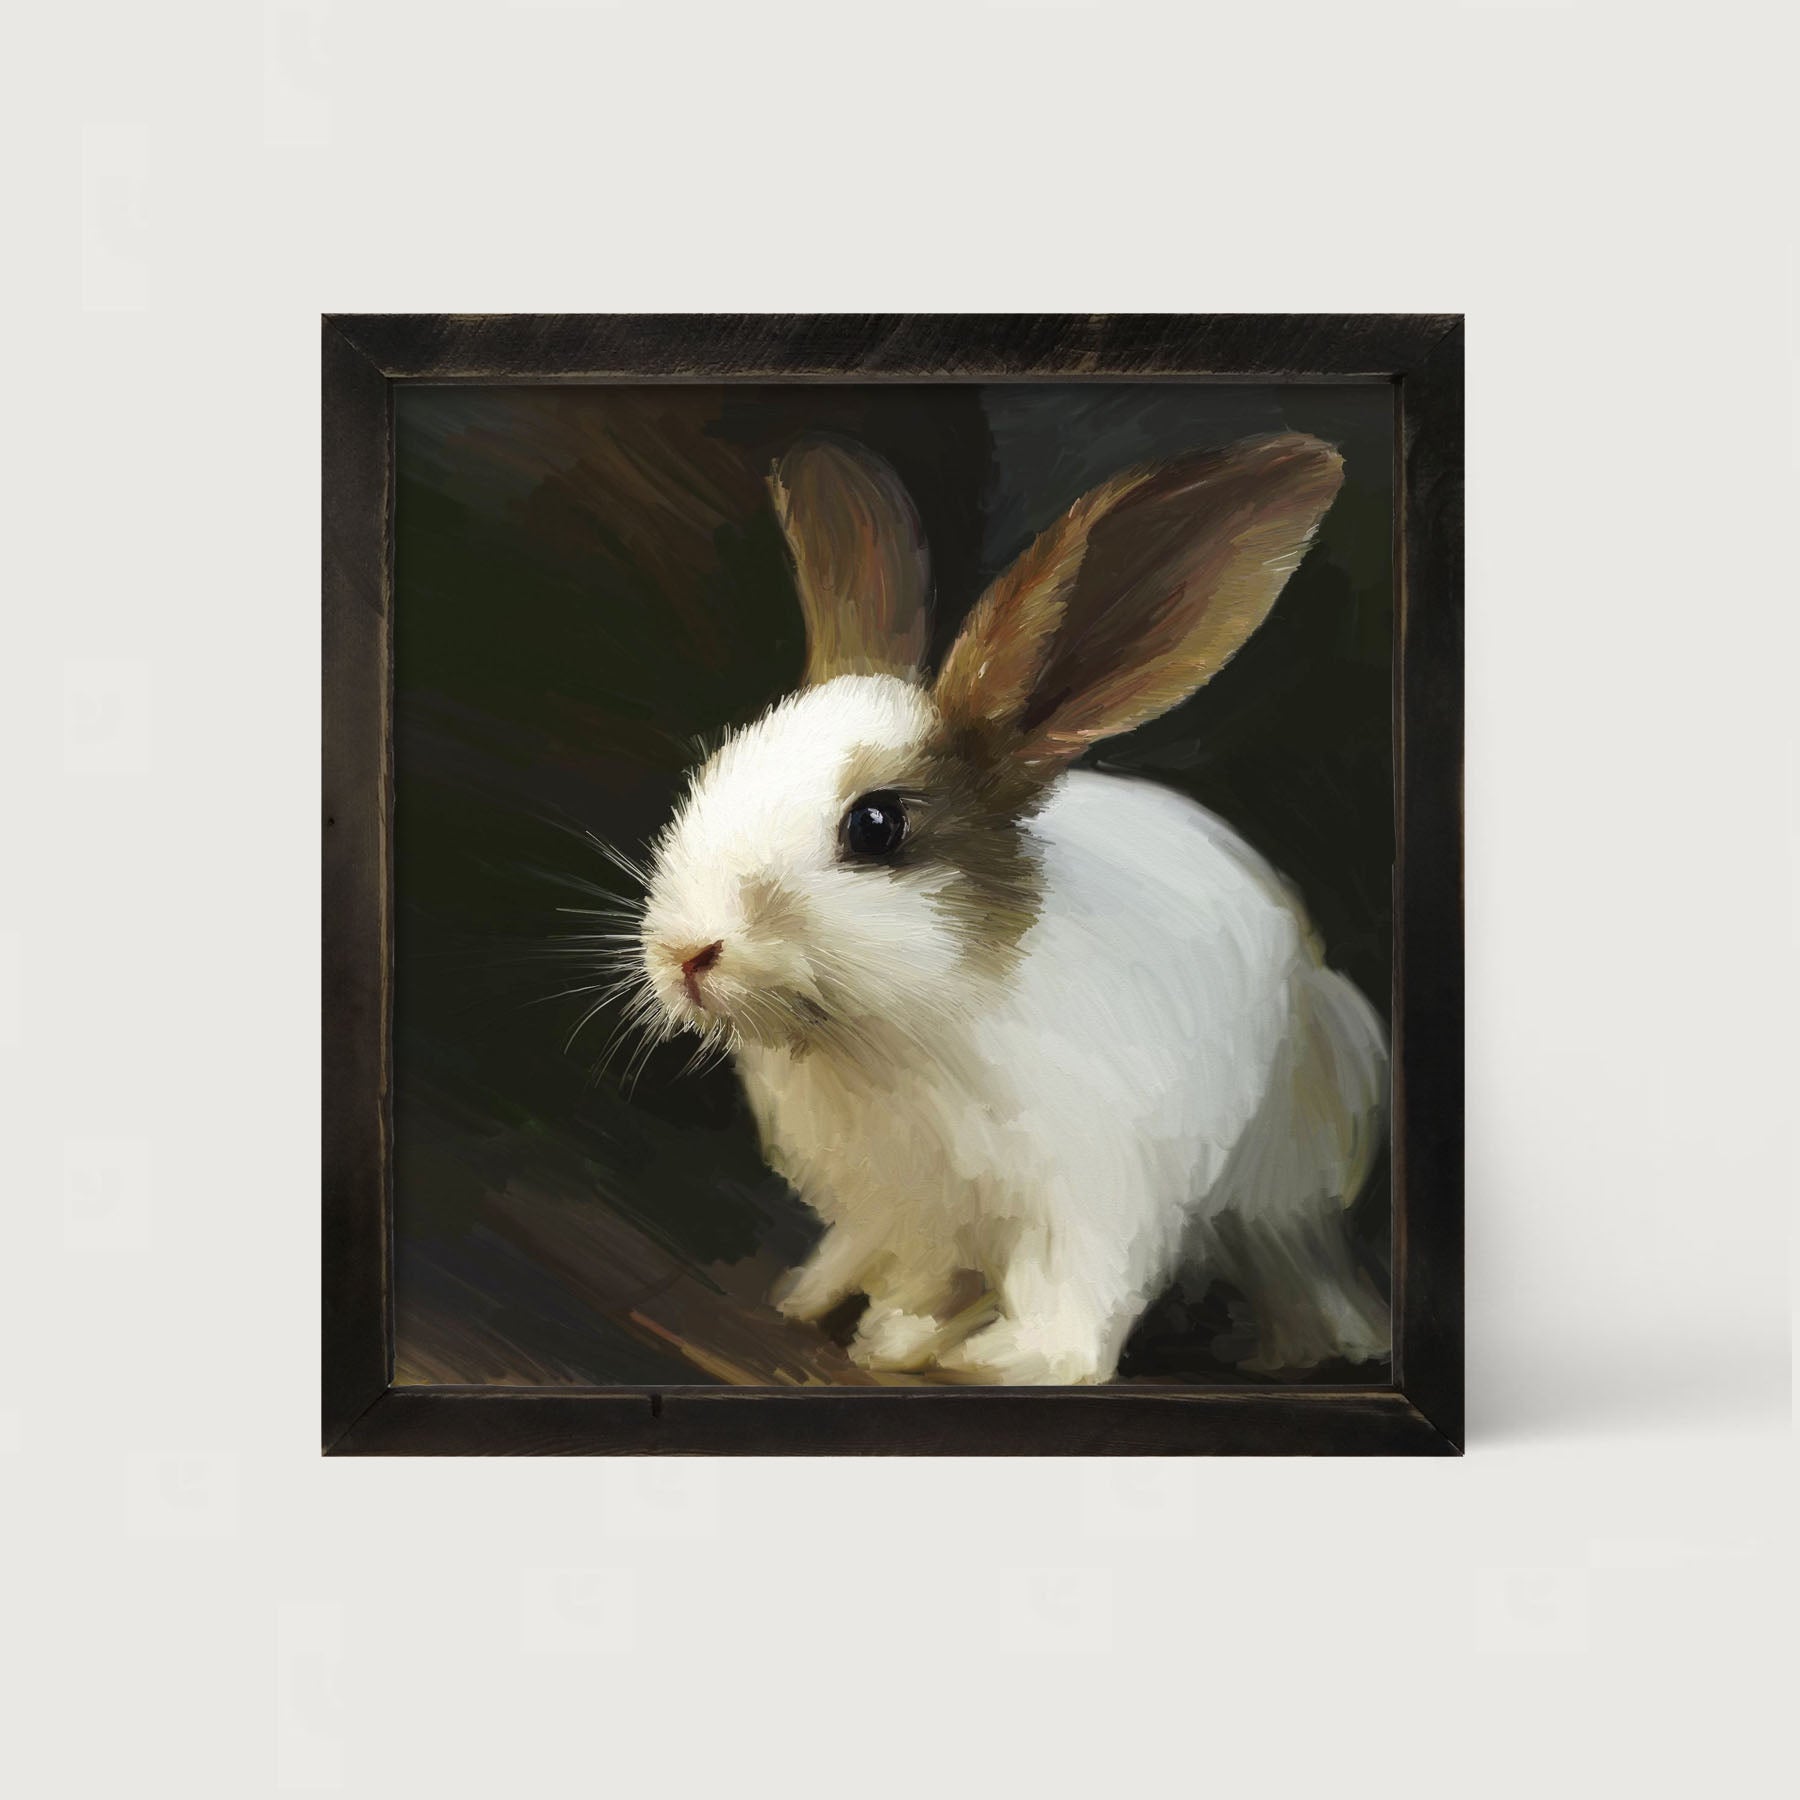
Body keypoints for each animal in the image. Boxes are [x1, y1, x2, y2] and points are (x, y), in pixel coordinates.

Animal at [628, 431, 1390, 1384]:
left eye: (876, 826)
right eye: (717, 767)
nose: (686, 953)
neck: (892, 1033)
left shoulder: (1091, 1199)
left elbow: (1072, 1309)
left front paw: (1001, 1360)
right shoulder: (900, 1212)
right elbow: (914, 1276)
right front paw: (884, 1332)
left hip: (1287, 1181)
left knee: (1295, 1262)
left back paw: (1309, 1348)